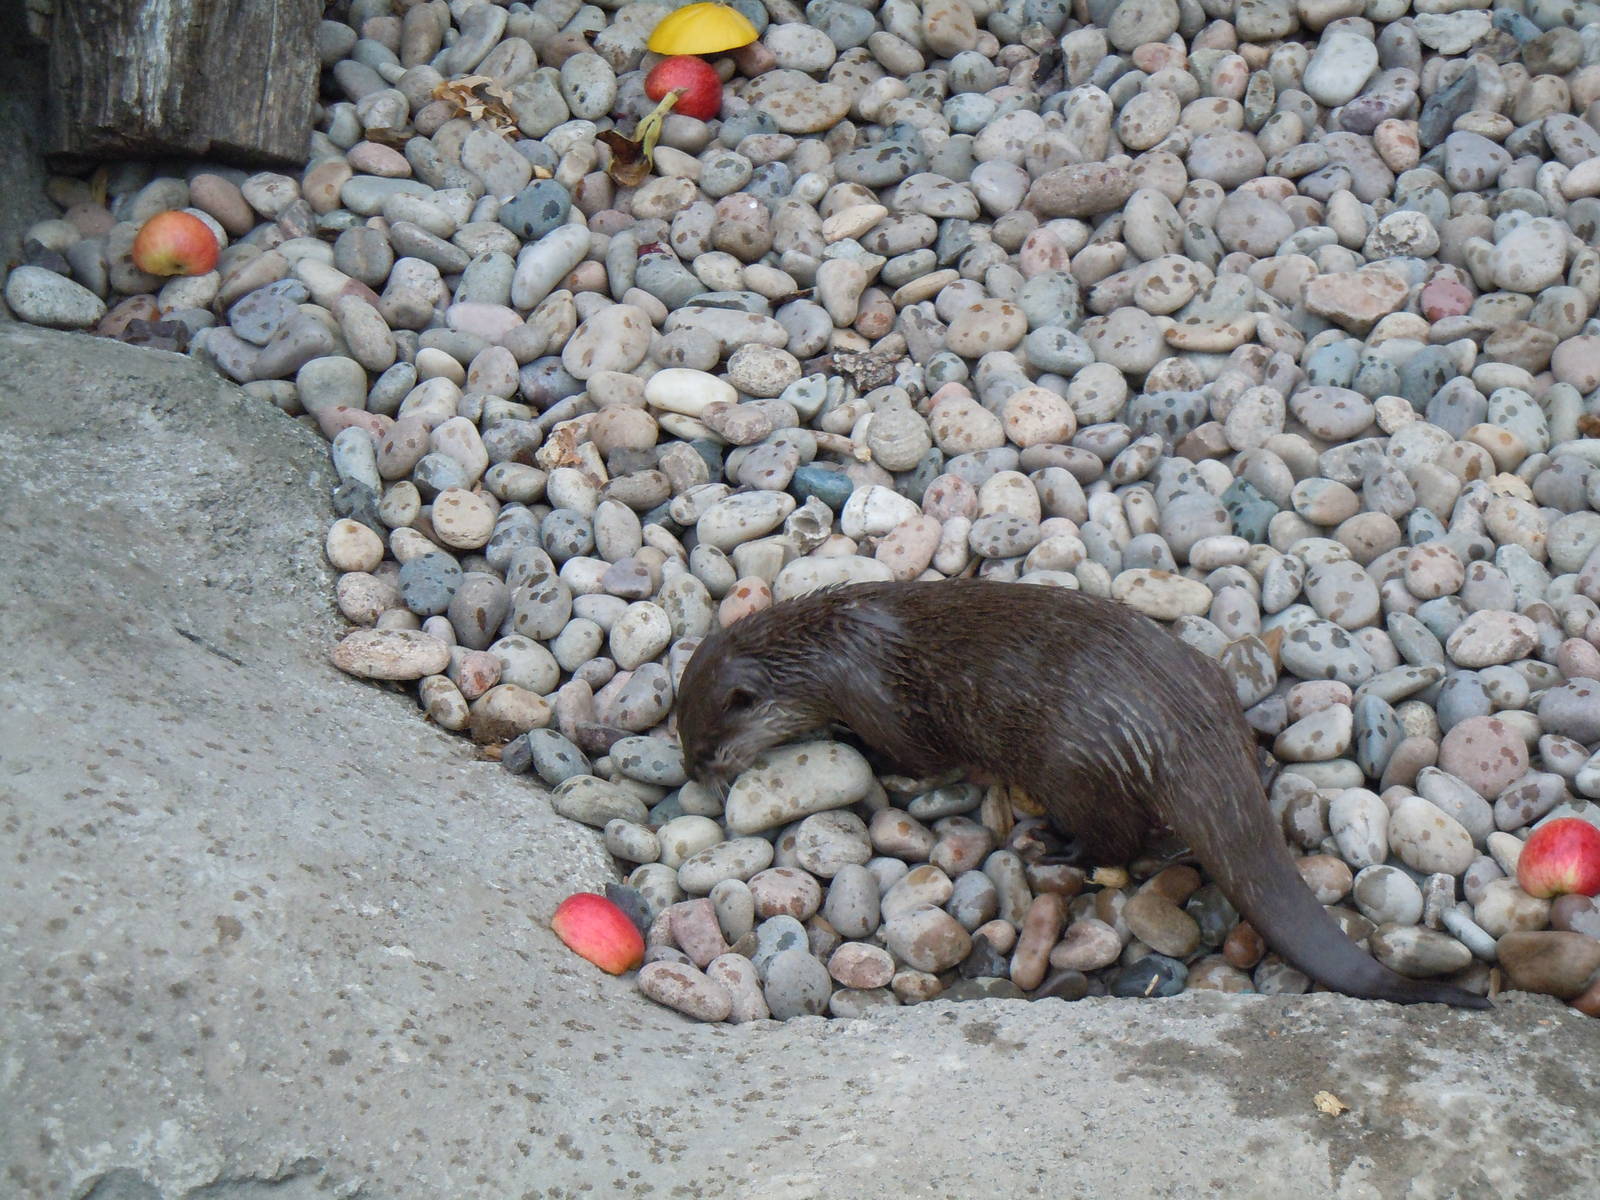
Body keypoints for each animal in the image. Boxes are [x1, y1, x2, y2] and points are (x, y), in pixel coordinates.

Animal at [675, 579, 1489, 1009]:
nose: (692, 775)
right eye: (682, 735)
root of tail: (1179, 727)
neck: (831, 647)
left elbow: (917, 759)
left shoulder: (876, 703)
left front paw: (895, 776)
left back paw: (1051, 846)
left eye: (708, 745)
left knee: (1119, 841)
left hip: (1074, 766)